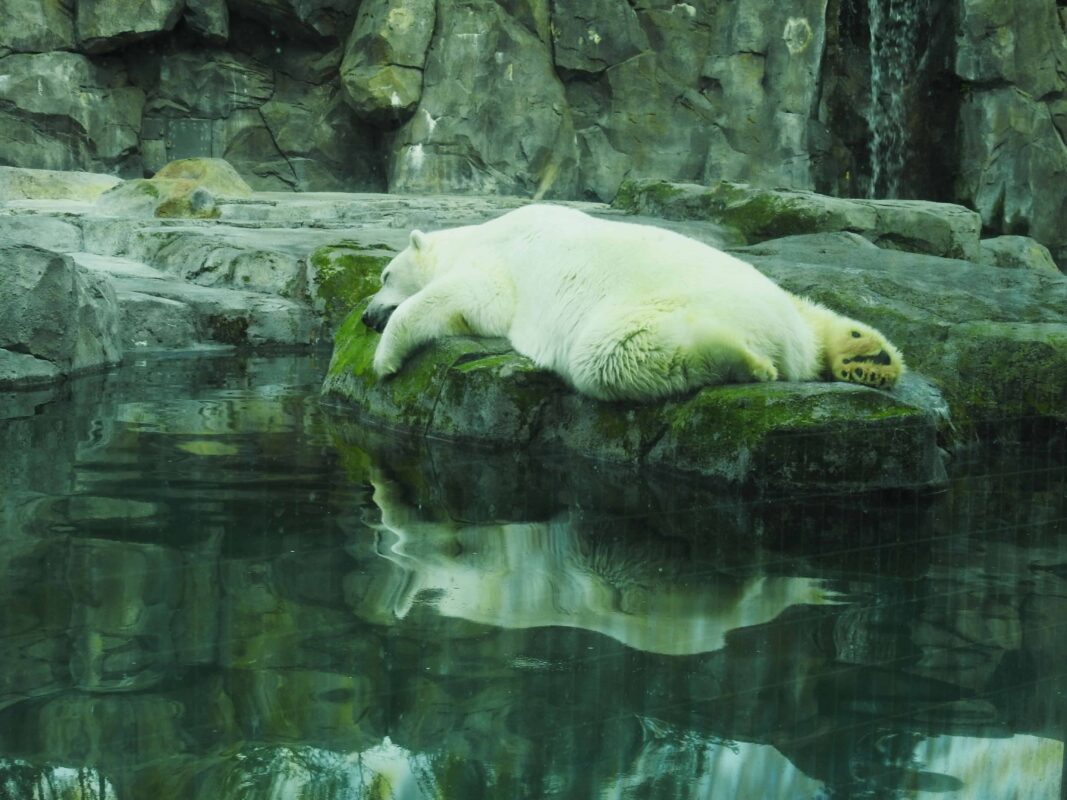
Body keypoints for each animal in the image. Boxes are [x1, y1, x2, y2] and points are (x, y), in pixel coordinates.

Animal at [362, 204, 904, 403]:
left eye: (385, 275)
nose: (366, 314)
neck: (480, 232)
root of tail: (786, 342)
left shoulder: (498, 266)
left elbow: (466, 298)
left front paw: (384, 360)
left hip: (650, 311)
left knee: (611, 354)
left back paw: (746, 360)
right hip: (782, 302)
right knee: (812, 312)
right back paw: (866, 355)